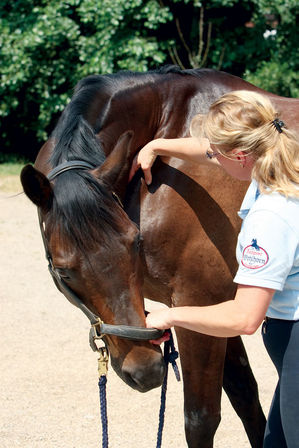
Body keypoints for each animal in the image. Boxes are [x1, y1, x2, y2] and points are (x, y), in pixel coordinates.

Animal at [20, 66, 299, 448]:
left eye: (135, 243)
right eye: (63, 273)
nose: (146, 370)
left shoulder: (201, 299)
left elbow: (200, 419)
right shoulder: (220, 304)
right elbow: (246, 396)